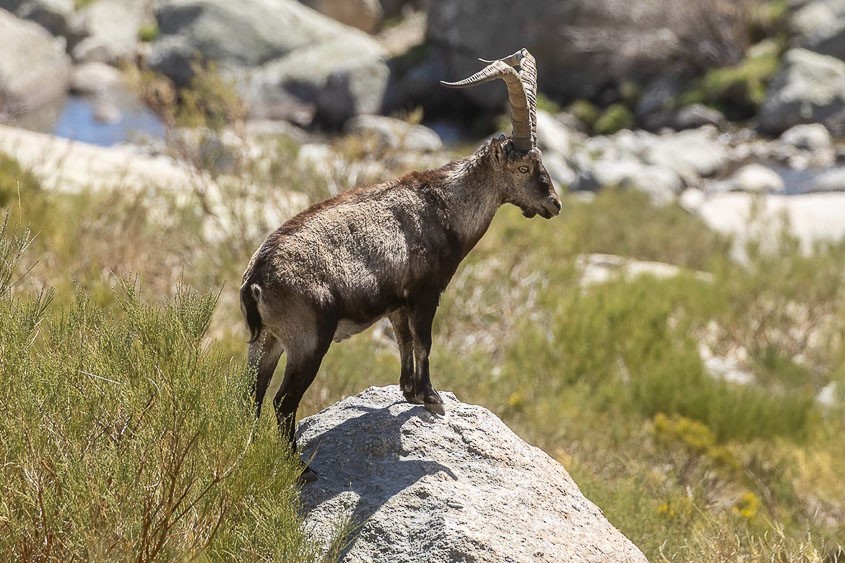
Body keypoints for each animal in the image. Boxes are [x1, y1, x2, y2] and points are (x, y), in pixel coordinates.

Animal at [239, 48, 560, 482]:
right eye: (524, 168)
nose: (554, 204)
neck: (446, 204)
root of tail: (256, 280)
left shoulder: (396, 303)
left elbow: (405, 341)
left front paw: (409, 392)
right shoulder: (426, 293)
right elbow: (424, 341)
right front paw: (431, 398)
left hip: (267, 341)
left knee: (250, 396)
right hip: (308, 340)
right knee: (282, 403)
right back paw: (302, 471)